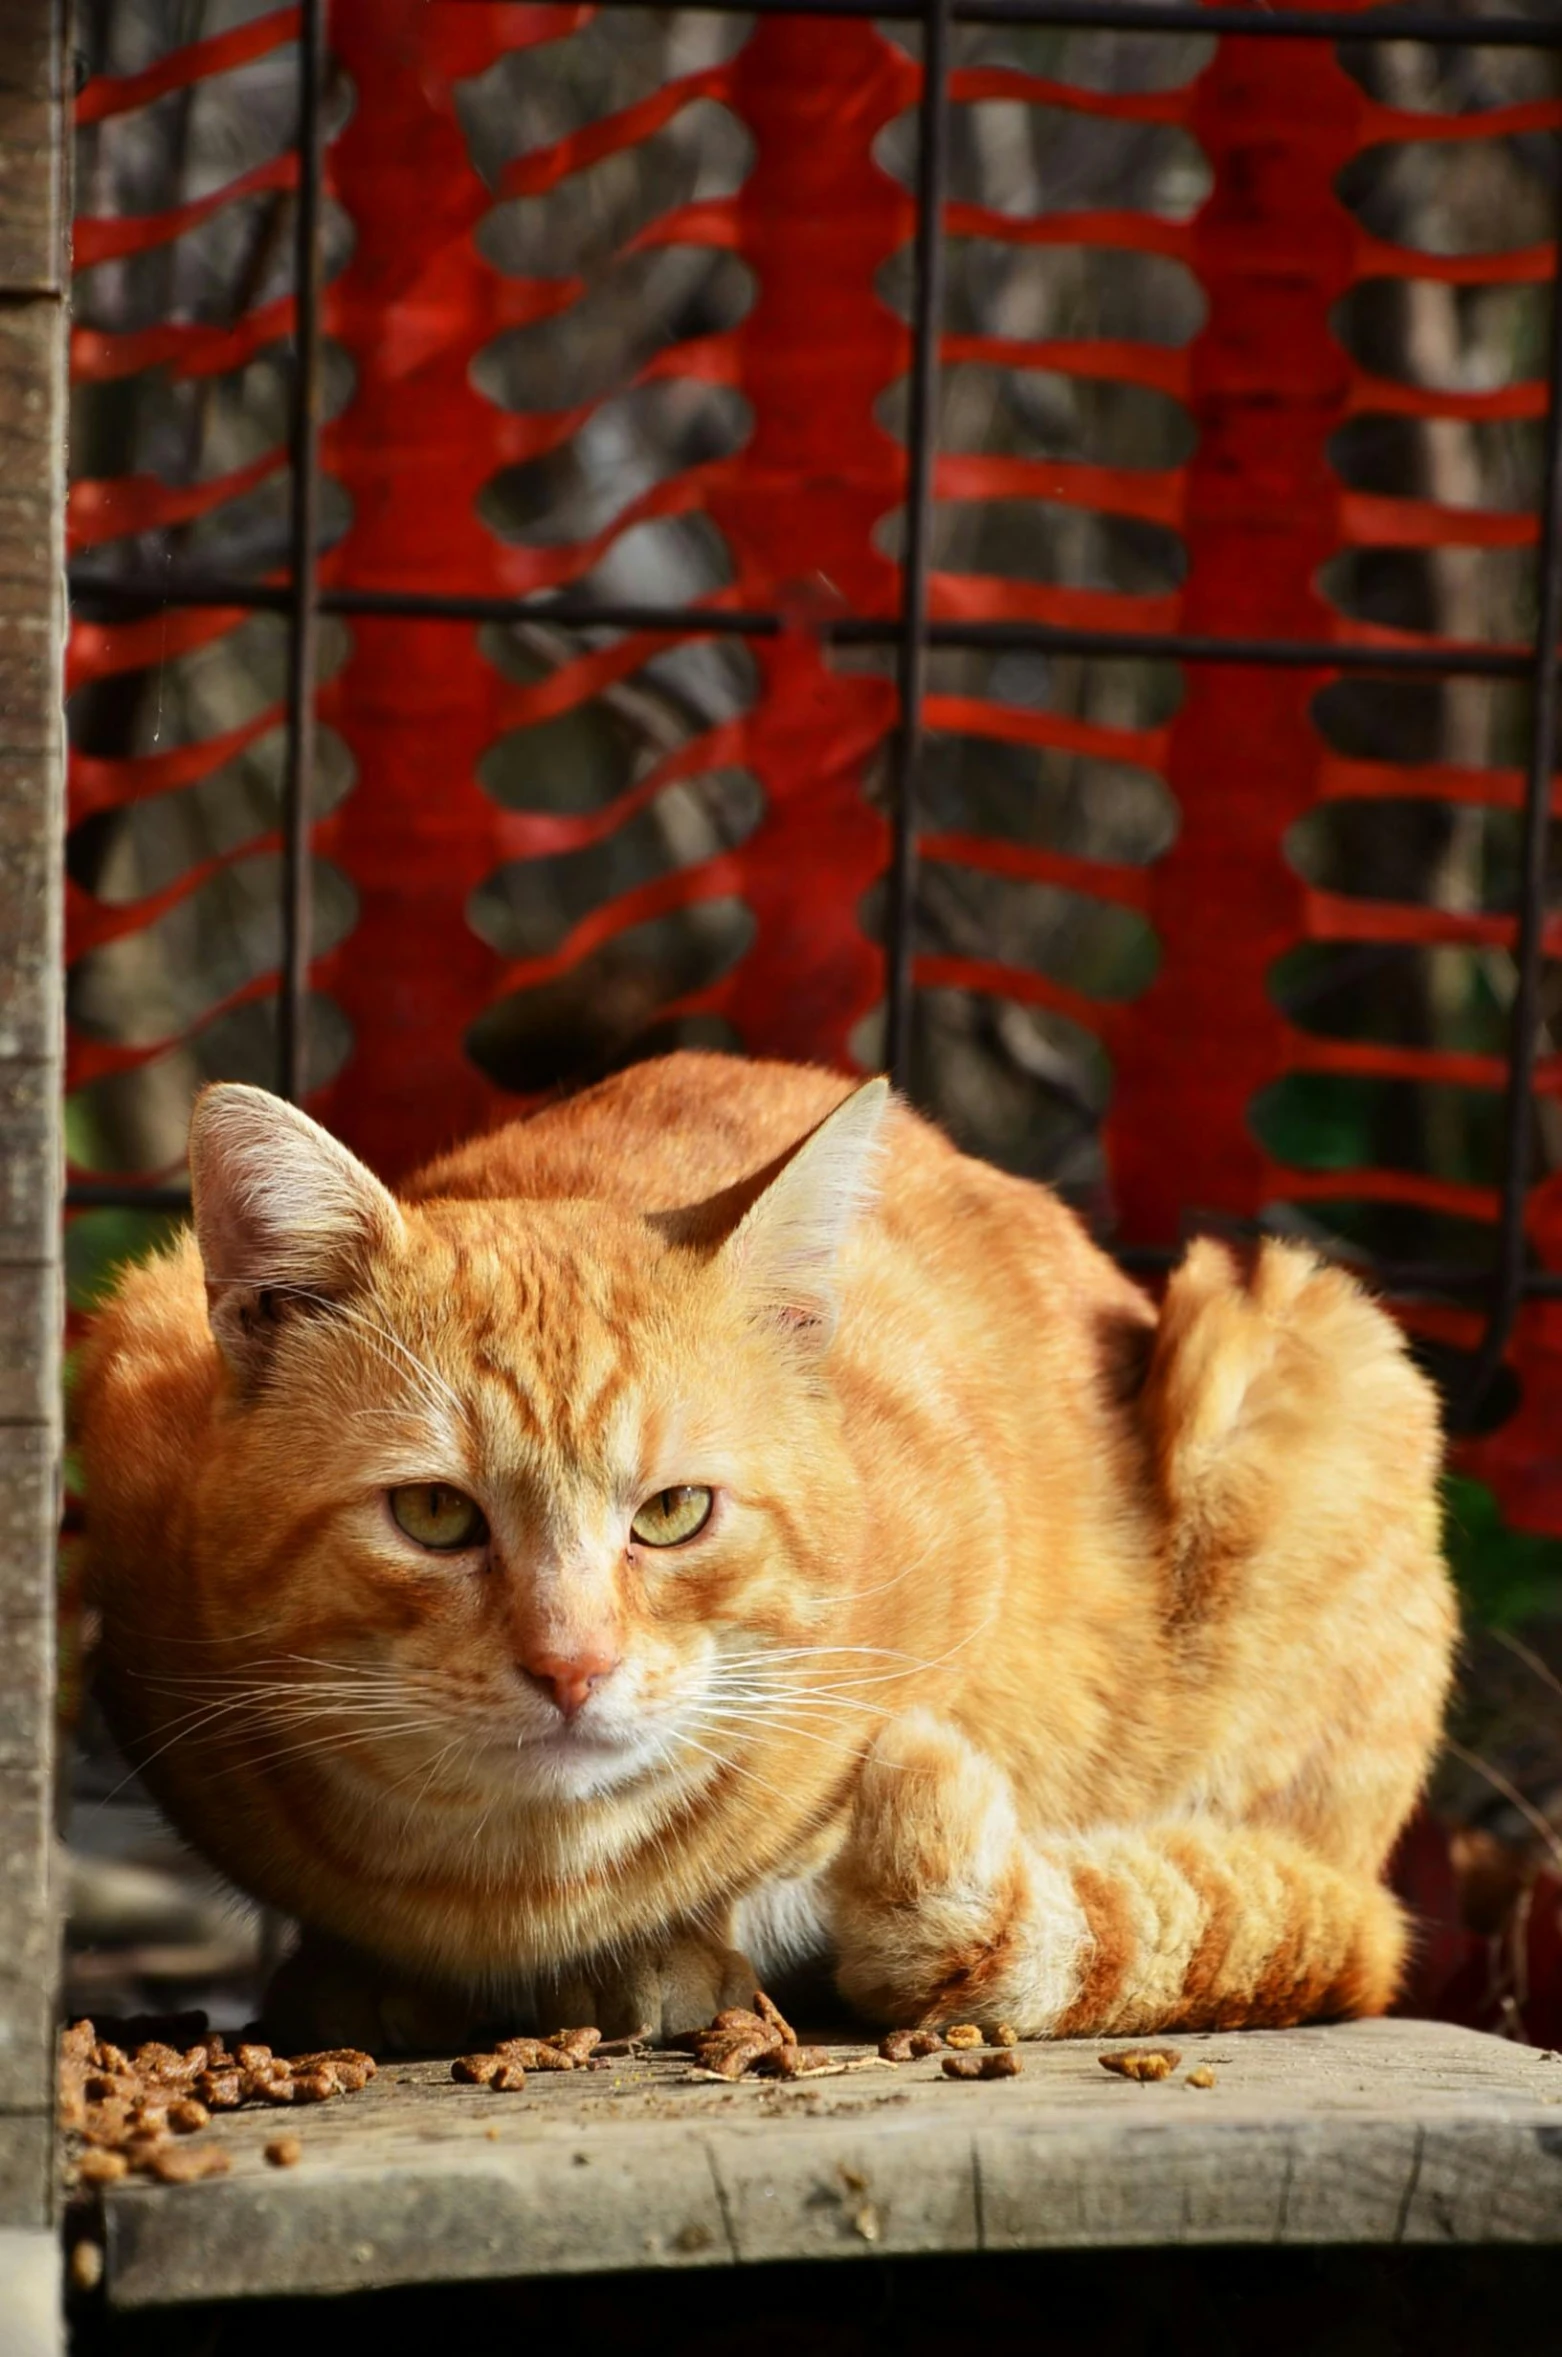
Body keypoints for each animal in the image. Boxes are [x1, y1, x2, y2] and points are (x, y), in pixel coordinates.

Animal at [82, 1065, 1451, 2045]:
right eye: (432, 1515)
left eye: (672, 1512)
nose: (572, 1667)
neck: (511, 1887)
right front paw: (363, 1977)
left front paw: (670, 1952)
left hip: (1313, 1352)